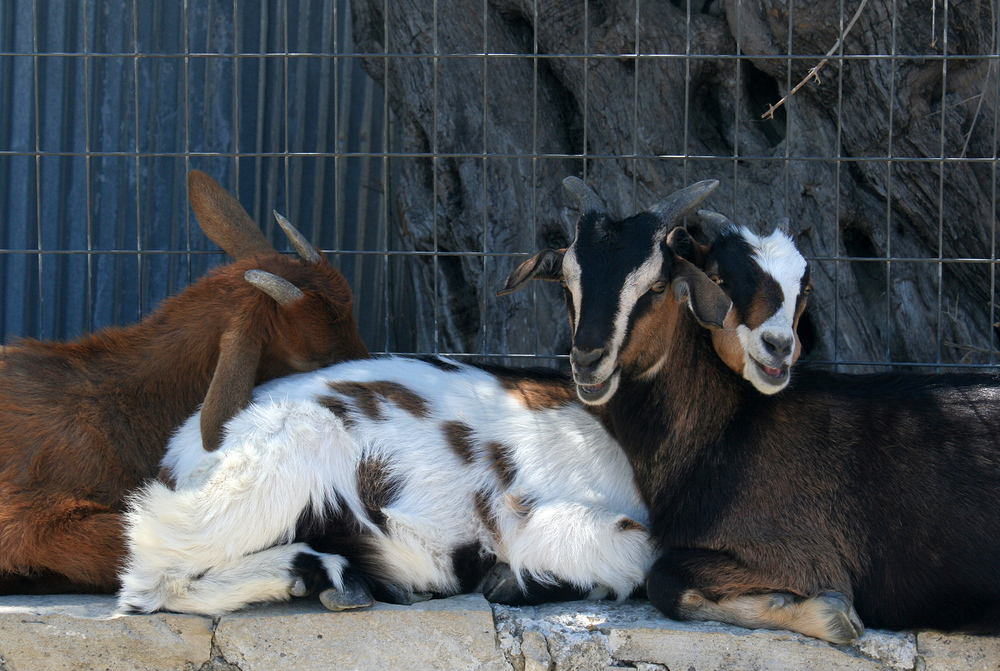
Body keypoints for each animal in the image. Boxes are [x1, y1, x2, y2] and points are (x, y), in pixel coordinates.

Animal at [117, 360, 652, 616]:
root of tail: (187, 444)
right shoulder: (541, 516)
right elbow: (633, 557)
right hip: (280, 451)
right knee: (152, 565)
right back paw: (328, 573)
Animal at [504, 177, 1000, 644]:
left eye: (658, 284)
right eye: (567, 284)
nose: (588, 359)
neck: (729, 429)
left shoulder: (801, 554)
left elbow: (663, 579)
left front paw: (830, 614)